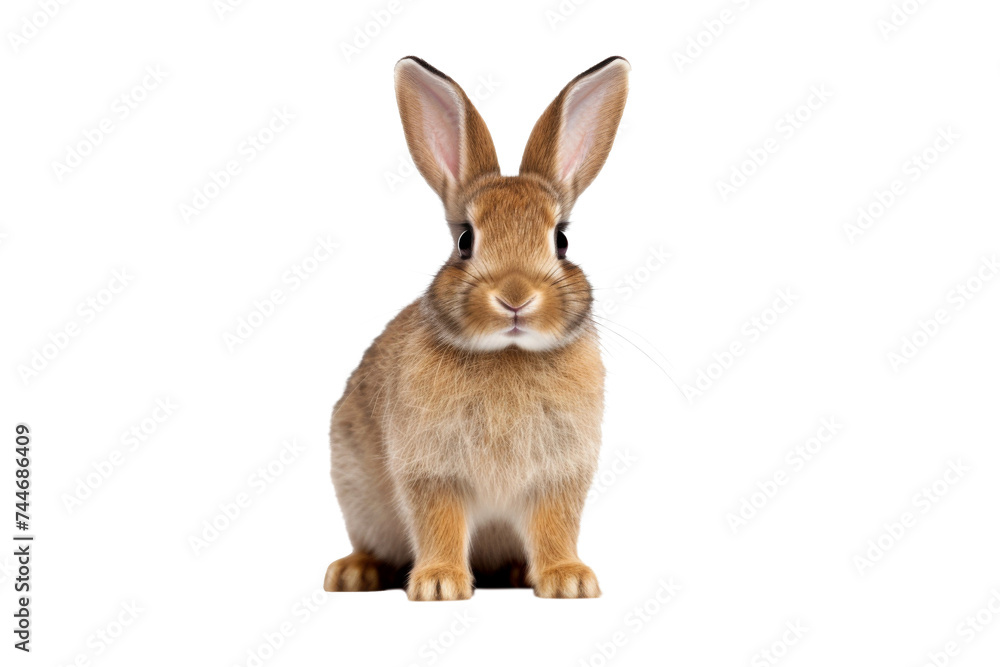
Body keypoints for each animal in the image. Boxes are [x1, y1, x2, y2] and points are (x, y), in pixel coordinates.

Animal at [324, 55, 629, 600]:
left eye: (561, 240)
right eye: (465, 240)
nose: (515, 297)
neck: (507, 353)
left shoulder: (559, 475)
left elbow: (555, 526)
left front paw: (569, 580)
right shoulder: (432, 471)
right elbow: (439, 522)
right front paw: (439, 584)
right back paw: (354, 572)